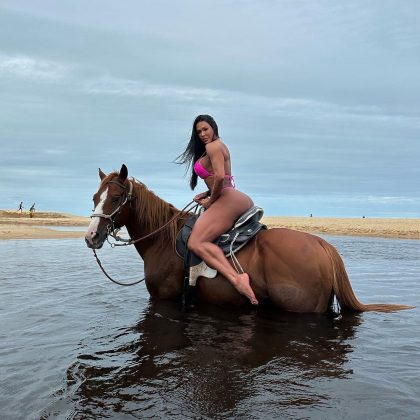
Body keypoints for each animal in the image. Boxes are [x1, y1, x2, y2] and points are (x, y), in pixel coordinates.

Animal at [84, 166, 414, 314]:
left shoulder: (163, 300)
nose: (91, 237)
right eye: (95, 197)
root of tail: (323, 245)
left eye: (116, 198)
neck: (162, 241)